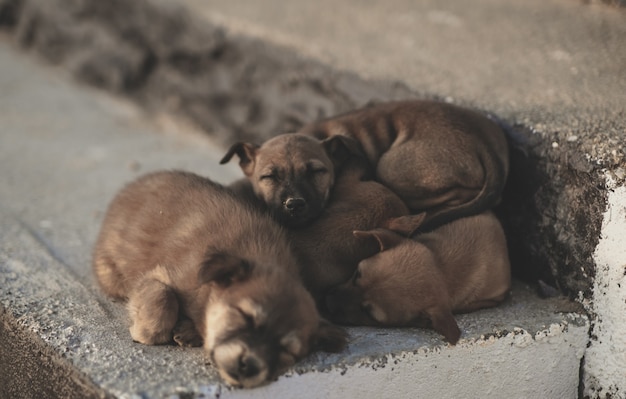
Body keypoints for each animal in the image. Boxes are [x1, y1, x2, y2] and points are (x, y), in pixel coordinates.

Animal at [92, 171, 346, 388]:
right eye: (246, 317)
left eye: (287, 352)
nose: (249, 366)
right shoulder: (159, 275)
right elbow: (163, 301)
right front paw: (144, 331)